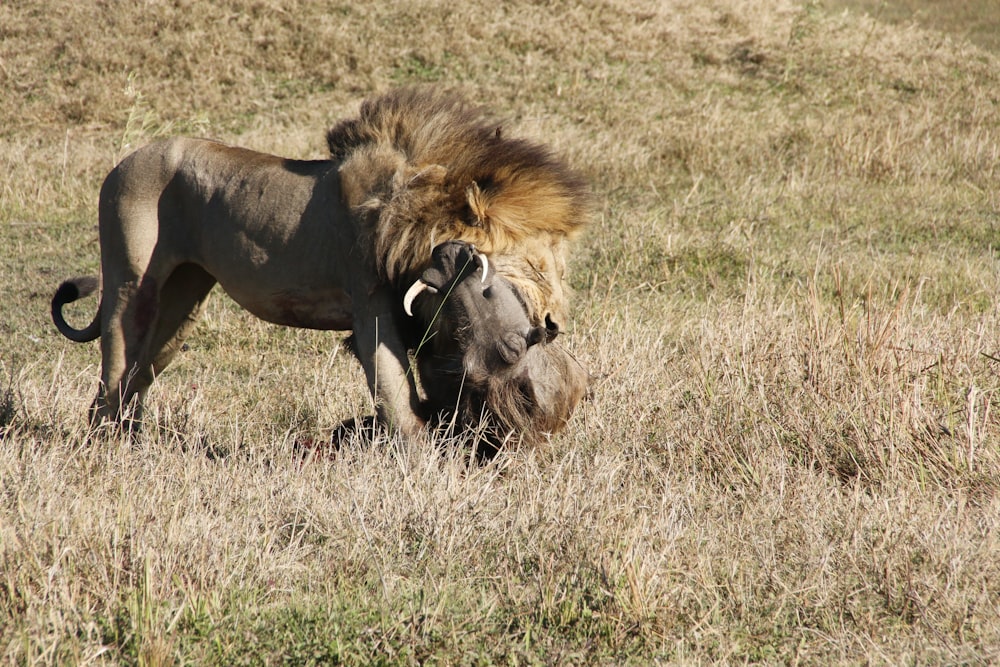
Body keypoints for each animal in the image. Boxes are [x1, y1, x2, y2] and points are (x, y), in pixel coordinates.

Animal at [50, 90, 588, 444]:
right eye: (535, 264)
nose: (451, 258)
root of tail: (126, 160)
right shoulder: (370, 305)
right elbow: (395, 393)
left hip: (184, 300)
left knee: (138, 374)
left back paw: (133, 443)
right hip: (131, 279)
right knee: (116, 363)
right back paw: (107, 447)